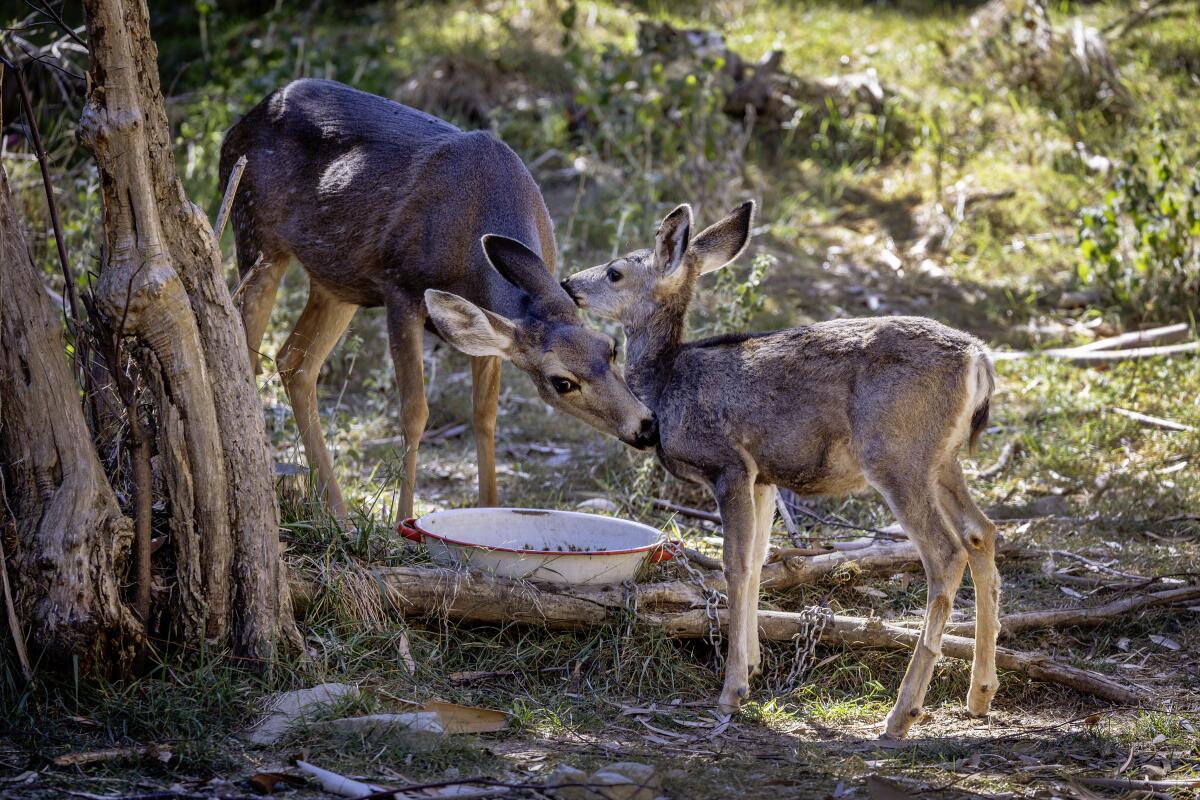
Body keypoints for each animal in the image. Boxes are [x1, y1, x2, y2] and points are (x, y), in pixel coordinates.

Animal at [219, 79, 658, 522]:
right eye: (561, 381)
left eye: (611, 347)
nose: (646, 426)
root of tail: (238, 126)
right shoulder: (400, 288)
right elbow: (415, 412)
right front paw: (402, 521)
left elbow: (485, 415)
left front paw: (489, 510)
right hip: (255, 233)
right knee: (244, 349)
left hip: (338, 280)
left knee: (295, 361)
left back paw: (339, 513)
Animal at [560, 201, 1001, 739]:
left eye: (615, 271)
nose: (568, 283)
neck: (665, 386)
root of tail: (978, 358)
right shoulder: (763, 477)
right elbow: (757, 562)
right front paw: (751, 666)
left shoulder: (727, 464)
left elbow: (733, 565)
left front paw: (732, 691)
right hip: (942, 460)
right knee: (982, 532)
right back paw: (979, 694)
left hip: (896, 454)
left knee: (945, 552)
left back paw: (902, 715)